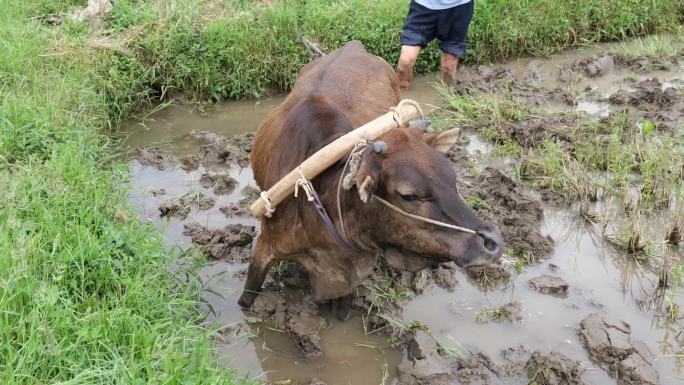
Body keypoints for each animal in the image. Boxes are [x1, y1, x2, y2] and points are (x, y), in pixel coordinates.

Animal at [240, 40, 502, 314]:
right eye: (408, 195)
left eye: (453, 180)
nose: (492, 242)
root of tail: (352, 46)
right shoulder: (265, 247)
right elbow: (246, 299)